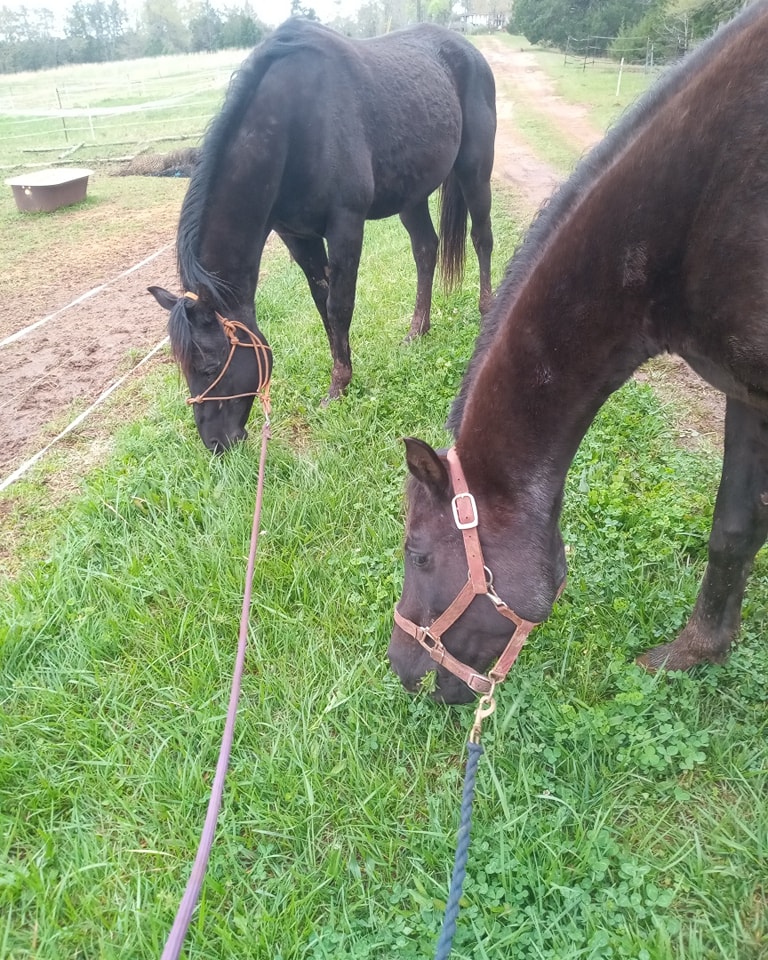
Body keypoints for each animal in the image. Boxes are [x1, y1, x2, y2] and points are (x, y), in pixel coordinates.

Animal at [148, 18, 496, 453]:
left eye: (210, 364)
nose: (215, 442)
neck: (294, 126)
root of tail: (469, 50)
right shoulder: (298, 236)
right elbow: (321, 302)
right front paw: (340, 376)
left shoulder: (345, 225)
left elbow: (339, 306)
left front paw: (338, 388)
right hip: (412, 195)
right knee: (425, 250)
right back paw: (417, 331)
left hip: (474, 170)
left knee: (482, 238)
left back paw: (487, 310)